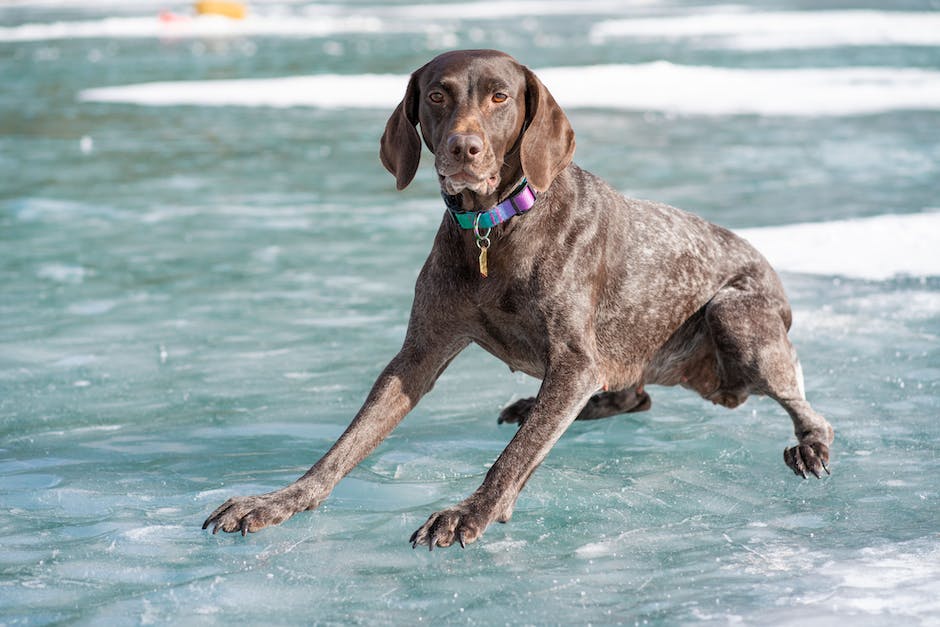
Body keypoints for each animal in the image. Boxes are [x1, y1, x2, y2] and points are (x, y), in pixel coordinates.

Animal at [202, 50, 832, 548]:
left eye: (500, 97)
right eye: (437, 95)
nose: (464, 148)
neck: (493, 226)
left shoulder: (575, 361)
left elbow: (515, 457)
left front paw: (469, 512)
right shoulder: (417, 355)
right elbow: (345, 446)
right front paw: (280, 500)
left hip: (736, 318)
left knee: (809, 409)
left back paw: (809, 446)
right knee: (631, 397)